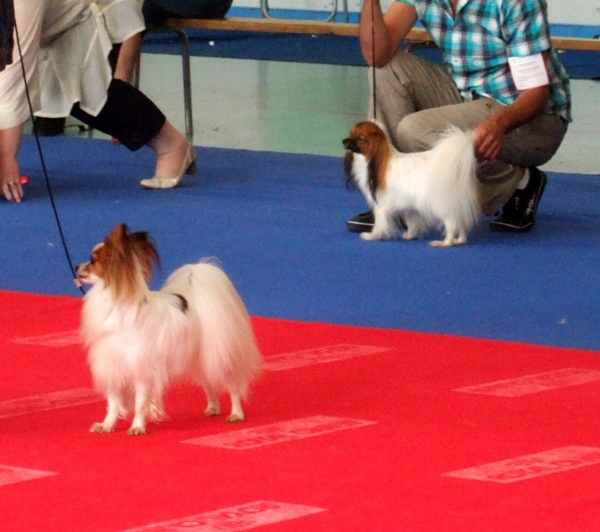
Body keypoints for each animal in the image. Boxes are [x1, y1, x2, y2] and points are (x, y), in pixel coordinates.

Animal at [76, 222, 262, 434]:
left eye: (93, 260)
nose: (75, 266)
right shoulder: (112, 365)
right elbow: (113, 402)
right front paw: (107, 425)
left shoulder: (141, 368)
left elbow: (140, 402)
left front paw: (137, 427)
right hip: (198, 357)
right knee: (208, 382)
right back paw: (213, 406)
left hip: (220, 354)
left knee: (232, 385)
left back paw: (236, 414)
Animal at [344, 121, 480, 247]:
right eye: (351, 134)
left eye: (360, 138)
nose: (344, 141)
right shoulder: (410, 207)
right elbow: (411, 222)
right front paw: (410, 235)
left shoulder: (381, 206)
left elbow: (380, 223)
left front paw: (372, 236)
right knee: (461, 223)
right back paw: (460, 240)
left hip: (441, 205)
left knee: (452, 223)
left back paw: (445, 242)